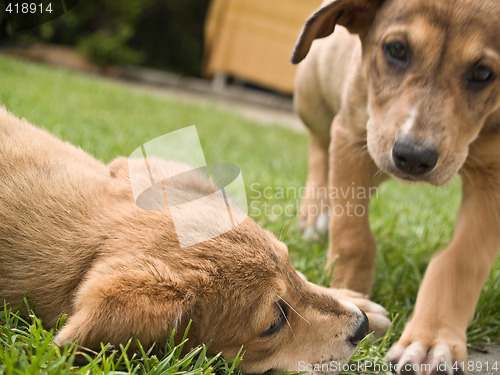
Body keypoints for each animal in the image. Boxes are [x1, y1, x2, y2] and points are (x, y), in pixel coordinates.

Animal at [292, 0, 500, 374]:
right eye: (397, 50)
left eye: (482, 73)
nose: (414, 157)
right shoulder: (352, 136)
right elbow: (353, 237)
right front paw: (345, 297)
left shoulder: (493, 177)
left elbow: (461, 260)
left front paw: (433, 339)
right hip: (315, 96)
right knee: (319, 149)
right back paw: (315, 215)